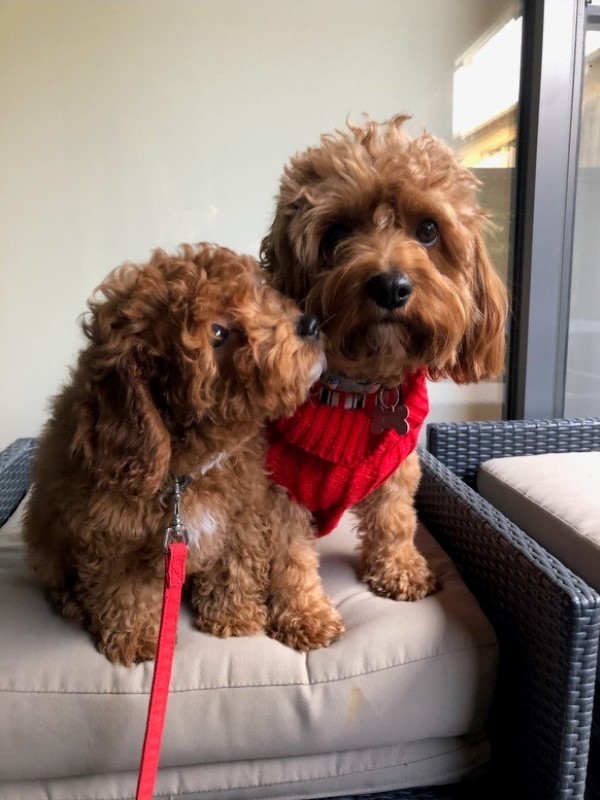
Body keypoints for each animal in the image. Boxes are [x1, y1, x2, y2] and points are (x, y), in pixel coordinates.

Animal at [24, 245, 342, 668]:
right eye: (218, 333)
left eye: (258, 289)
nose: (308, 323)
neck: (186, 467)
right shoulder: (111, 533)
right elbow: (123, 587)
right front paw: (136, 637)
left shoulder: (240, 513)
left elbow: (233, 561)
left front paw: (233, 617)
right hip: (45, 542)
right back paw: (74, 605)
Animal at [262, 115, 506, 604]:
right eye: (337, 233)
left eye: (428, 229)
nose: (391, 286)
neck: (357, 391)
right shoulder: (278, 488)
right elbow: (288, 556)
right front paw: (304, 610)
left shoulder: (397, 467)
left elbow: (394, 519)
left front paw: (399, 567)